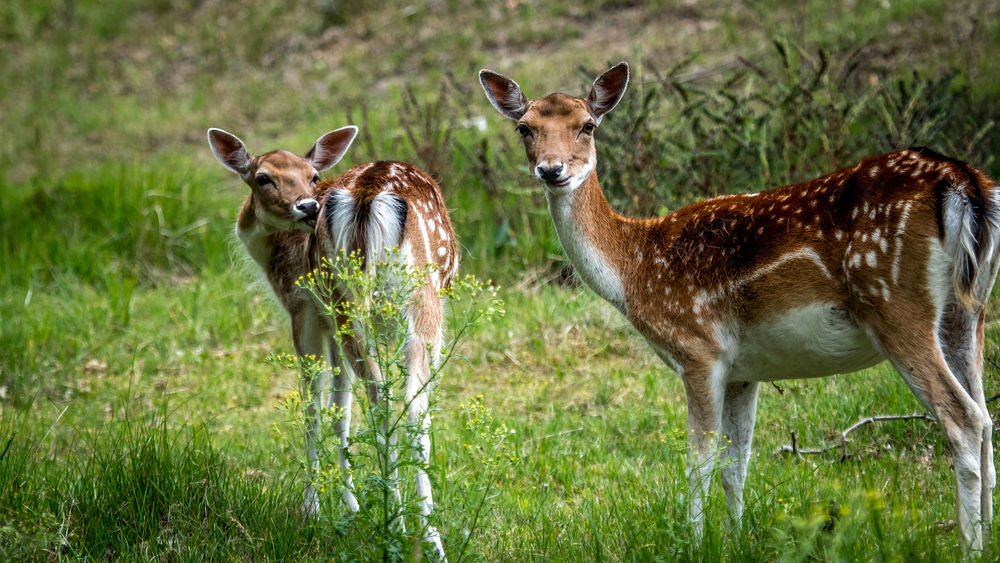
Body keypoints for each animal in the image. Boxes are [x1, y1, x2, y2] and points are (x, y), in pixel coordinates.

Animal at [207, 125, 458, 556]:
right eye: (263, 177)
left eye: (312, 175)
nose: (307, 207)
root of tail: (368, 198)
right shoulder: (327, 319)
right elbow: (340, 406)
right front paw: (348, 505)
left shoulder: (304, 307)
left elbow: (315, 406)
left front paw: (314, 508)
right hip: (375, 305)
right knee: (396, 398)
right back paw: (410, 528)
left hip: (388, 303)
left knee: (395, 399)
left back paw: (415, 532)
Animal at [478, 62, 1000, 552]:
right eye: (525, 128)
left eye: (587, 125)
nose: (551, 170)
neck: (634, 271)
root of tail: (963, 183)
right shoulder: (744, 370)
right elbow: (736, 463)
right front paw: (736, 538)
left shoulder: (699, 349)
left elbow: (699, 461)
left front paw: (693, 543)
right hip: (967, 312)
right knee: (986, 417)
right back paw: (987, 534)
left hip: (895, 302)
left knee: (963, 419)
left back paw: (969, 546)